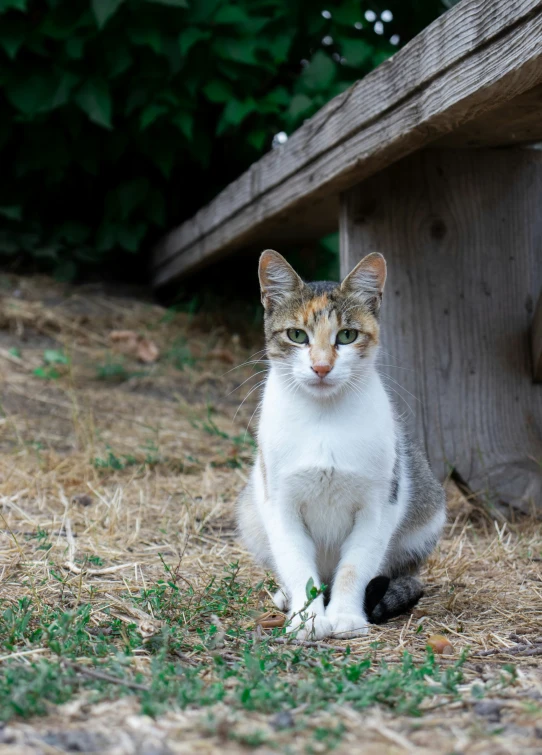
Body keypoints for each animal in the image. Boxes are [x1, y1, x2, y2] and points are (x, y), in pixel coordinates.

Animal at [237, 248, 446, 636]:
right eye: (297, 335)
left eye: (347, 335)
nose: (321, 367)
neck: (324, 421)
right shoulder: (281, 503)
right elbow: (298, 566)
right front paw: (307, 619)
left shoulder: (379, 505)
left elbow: (355, 566)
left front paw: (346, 616)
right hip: (250, 513)